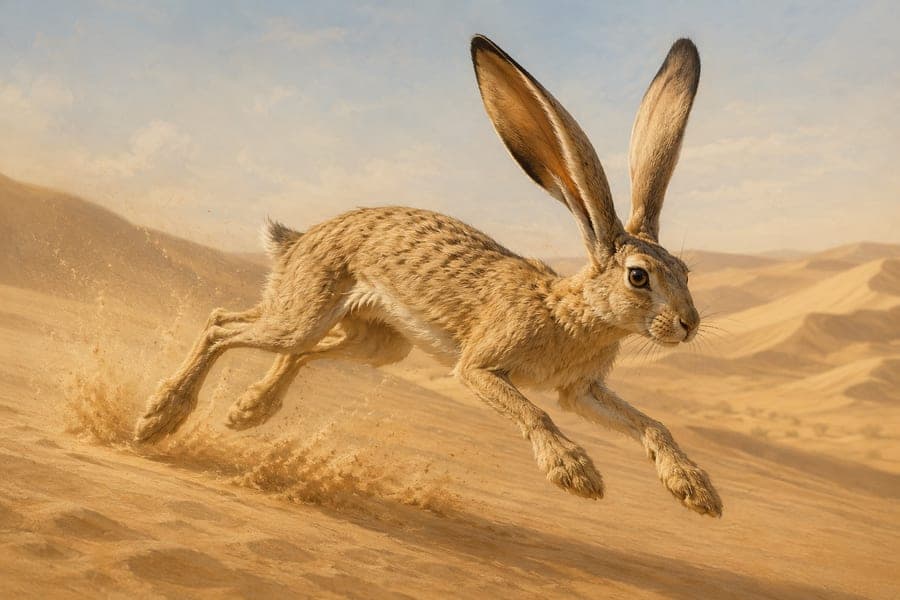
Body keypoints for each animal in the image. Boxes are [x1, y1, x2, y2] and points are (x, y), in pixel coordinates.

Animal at [134, 34, 722, 517]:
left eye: (685, 271)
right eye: (639, 278)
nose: (689, 325)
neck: (572, 311)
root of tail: (296, 241)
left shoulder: (581, 391)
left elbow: (652, 424)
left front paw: (697, 491)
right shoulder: (481, 367)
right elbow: (533, 414)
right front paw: (576, 475)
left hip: (376, 343)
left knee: (292, 346)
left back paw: (247, 411)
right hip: (305, 313)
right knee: (223, 325)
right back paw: (158, 420)